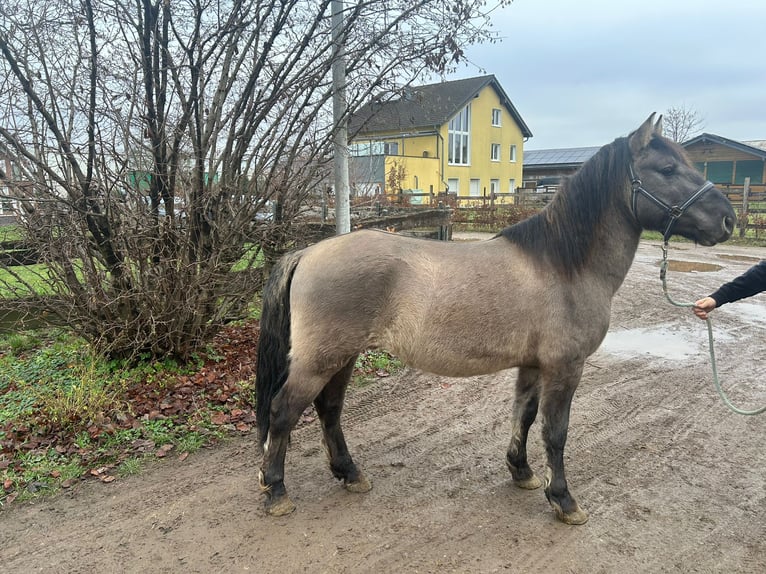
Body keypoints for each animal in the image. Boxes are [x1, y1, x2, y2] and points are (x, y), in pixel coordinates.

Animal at [255, 114, 735, 525]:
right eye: (667, 168)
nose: (728, 219)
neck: (564, 264)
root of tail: (308, 252)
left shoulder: (533, 365)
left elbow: (523, 415)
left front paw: (521, 472)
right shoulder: (565, 367)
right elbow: (556, 432)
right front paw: (563, 499)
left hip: (344, 356)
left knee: (329, 410)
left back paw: (349, 473)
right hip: (322, 359)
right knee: (283, 412)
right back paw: (276, 492)